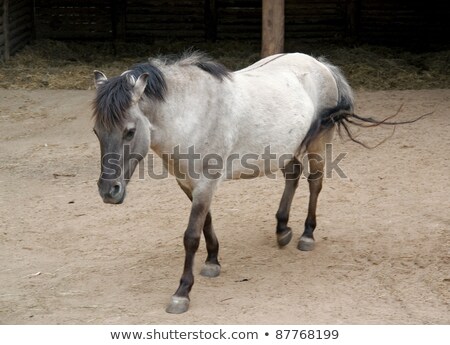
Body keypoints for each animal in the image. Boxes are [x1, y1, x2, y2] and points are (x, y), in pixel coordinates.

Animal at [90, 50, 404, 312]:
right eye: (96, 131)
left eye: (130, 131)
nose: (109, 191)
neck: (193, 111)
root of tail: (320, 64)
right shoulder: (188, 184)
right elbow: (206, 223)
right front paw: (213, 262)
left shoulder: (205, 184)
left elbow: (191, 236)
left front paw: (182, 292)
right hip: (287, 147)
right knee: (293, 175)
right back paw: (282, 230)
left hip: (318, 143)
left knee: (315, 183)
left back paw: (306, 235)